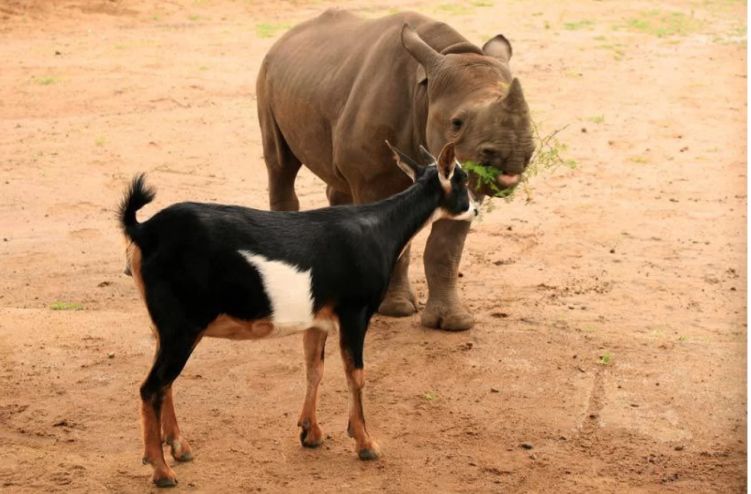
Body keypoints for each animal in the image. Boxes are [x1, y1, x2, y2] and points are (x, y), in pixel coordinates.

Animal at [256, 9, 534, 330]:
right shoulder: (373, 179)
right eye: (457, 123)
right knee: (280, 163)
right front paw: (396, 309)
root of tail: (285, 36)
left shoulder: (464, 182)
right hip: (266, 74)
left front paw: (453, 322)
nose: (513, 154)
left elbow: (446, 248)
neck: (425, 91)